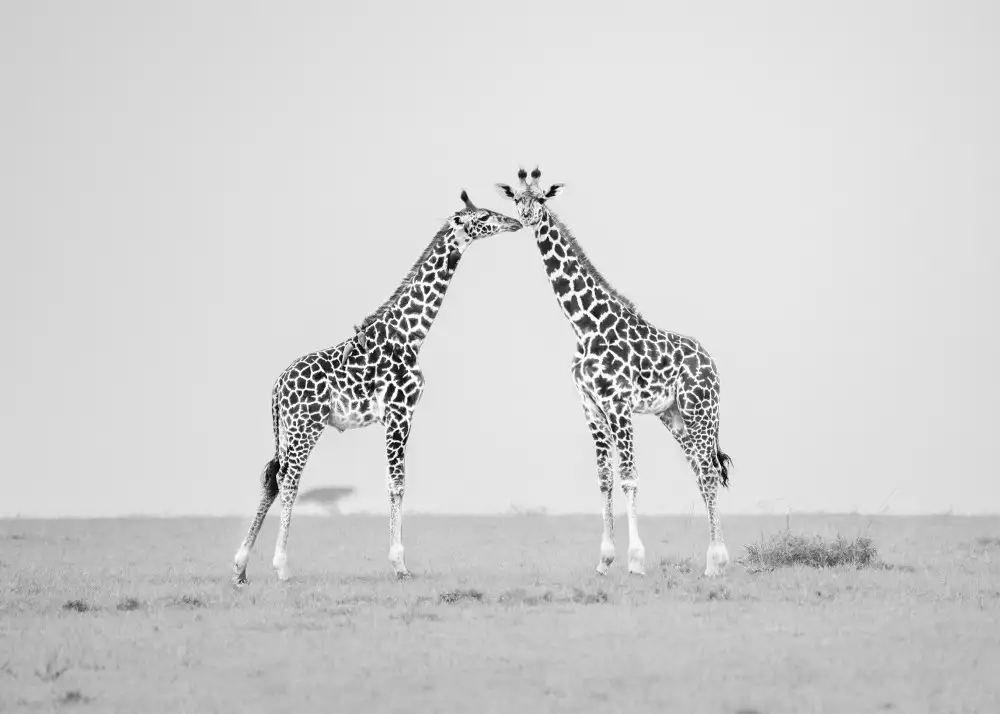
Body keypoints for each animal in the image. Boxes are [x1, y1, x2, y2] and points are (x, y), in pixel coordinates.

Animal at [232, 191, 522, 583]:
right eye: (484, 217)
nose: (516, 222)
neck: (410, 335)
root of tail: (277, 387)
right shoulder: (400, 413)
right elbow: (397, 483)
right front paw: (400, 564)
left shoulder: (398, 417)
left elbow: (394, 482)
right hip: (307, 425)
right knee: (289, 479)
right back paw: (281, 566)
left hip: (288, 429)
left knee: (272, 478)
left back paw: (241, 568)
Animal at [496, 168, 732, 577]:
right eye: (516, 199)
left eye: (541, 199)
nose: (527, 218)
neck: (585, 325)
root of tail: (711, 364)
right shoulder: (590, 404)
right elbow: (605, 479)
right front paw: (605, 559)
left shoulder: (618, 402)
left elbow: (629, 478)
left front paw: (635, 560)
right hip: (674, 416)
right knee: (700, 472)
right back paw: (715, 558)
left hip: (701, 410)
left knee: (709, 472)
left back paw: (716, 562)